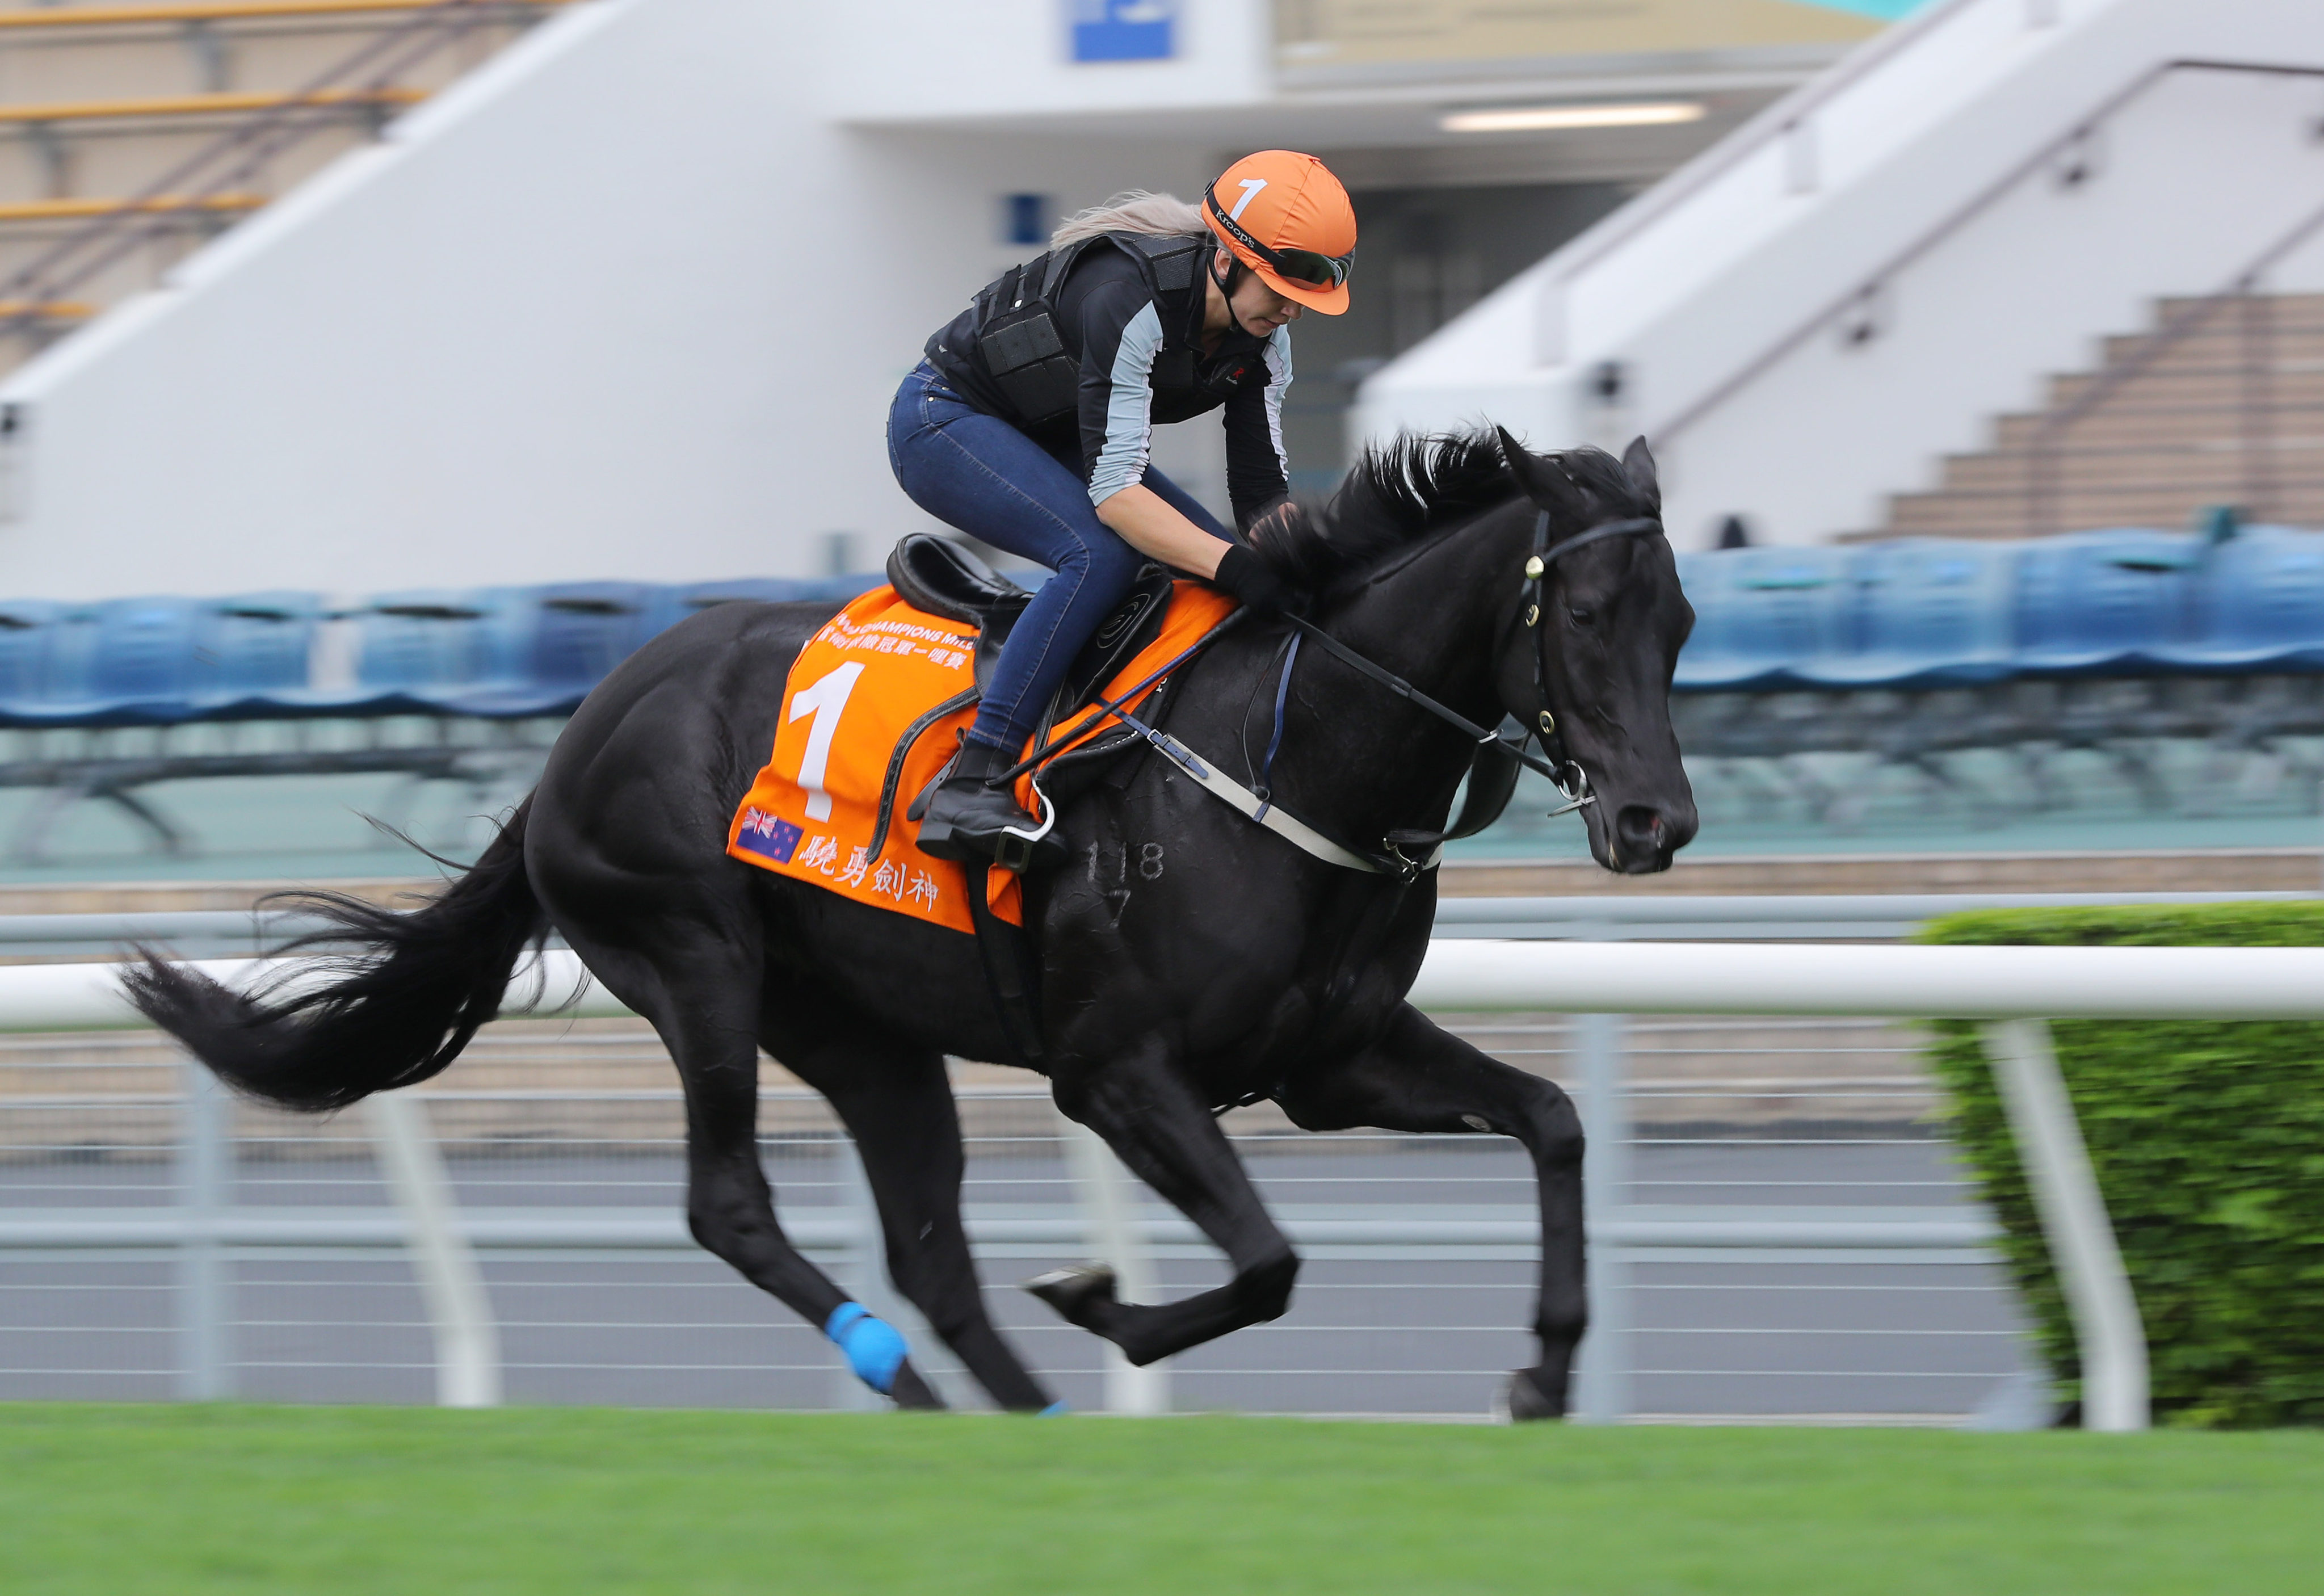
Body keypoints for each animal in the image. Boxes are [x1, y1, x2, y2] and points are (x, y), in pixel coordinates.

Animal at [123, 427, 1692, 1422]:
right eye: (1585, 612)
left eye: (1678, 623)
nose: (1655, 820)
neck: (1289, 749)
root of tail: (581, 729)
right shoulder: (1117, 1069)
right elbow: (1266, 1259)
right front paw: (1102, 1302)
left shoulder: (1328, 1057)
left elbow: (1552, 1119)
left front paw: (1546, 1369)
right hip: (696, 956)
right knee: (731, 1203)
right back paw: (900, 1372)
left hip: (864, 1032)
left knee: (928, 1244)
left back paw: (1011, 1410)